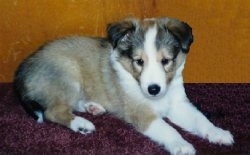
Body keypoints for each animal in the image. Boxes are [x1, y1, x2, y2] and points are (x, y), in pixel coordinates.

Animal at [13, 17, 233, 154]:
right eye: (139, 61)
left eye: (166, 61)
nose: (154, 89)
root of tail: (21, 73)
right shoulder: (141, 112)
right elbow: (168, 129)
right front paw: (181, 145)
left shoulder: (178, 104)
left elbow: (199, 119)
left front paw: (218, 133)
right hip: (67, 75)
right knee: (53, 111)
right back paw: (81, 124)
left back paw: (92, 107)